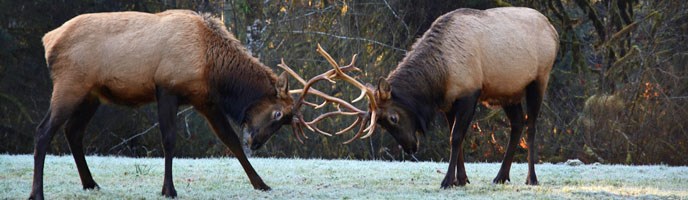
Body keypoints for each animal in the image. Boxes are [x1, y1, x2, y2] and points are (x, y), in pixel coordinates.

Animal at [30, 10, 296, 198]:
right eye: (278, 114)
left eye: (287, 120)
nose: (257, 142)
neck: (211, 67)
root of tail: (48, 40)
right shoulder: (167, 87)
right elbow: (168, 139)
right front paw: (169, 189)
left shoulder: (204, 99)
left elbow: (230, 140)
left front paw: (261, 184)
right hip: (69, 84)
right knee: (43, 130)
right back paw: (37, 193)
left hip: (91, 94)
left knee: (73, 131)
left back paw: (90, 183)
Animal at [338, 7, 560, 188]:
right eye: (381, 124)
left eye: (393, 118)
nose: (410, 148)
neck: (440, 76)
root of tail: (554, 32)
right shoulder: (448, 103)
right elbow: (455, 138)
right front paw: (460, 180)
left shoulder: (470, 93)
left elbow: (456, 137)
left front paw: (447, 181)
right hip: (508, 92)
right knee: (517, 124)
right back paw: (501, 176)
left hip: (539, 79)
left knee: (531, 126)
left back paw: (531, 178)